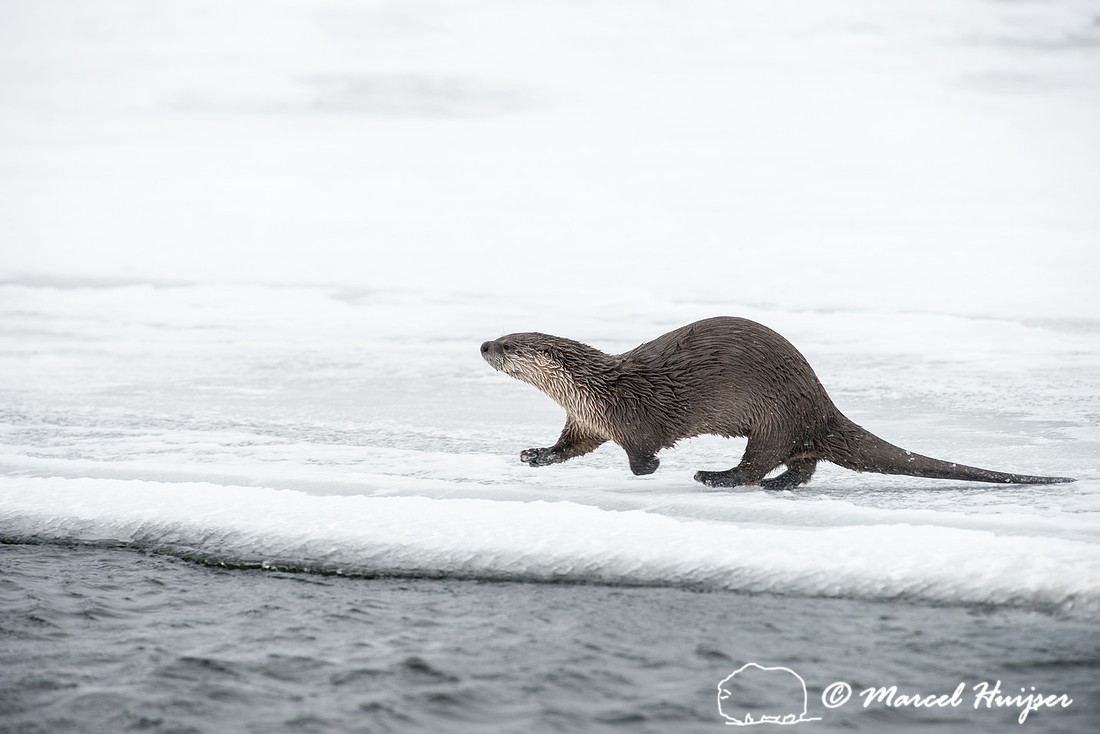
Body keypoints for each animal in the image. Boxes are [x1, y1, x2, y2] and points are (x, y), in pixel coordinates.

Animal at [480, 317, 1074, 489]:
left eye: (509, 346)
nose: (483, 345)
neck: (592, 389)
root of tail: (822, 402)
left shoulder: (630, 419)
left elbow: (643, 452)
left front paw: (646, 471)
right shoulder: (585, 421)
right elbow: (568, 448)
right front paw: (535, 454)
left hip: (773, 415)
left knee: (762, 459)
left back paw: (717, 476)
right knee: (803, 464)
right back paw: (779, 485)